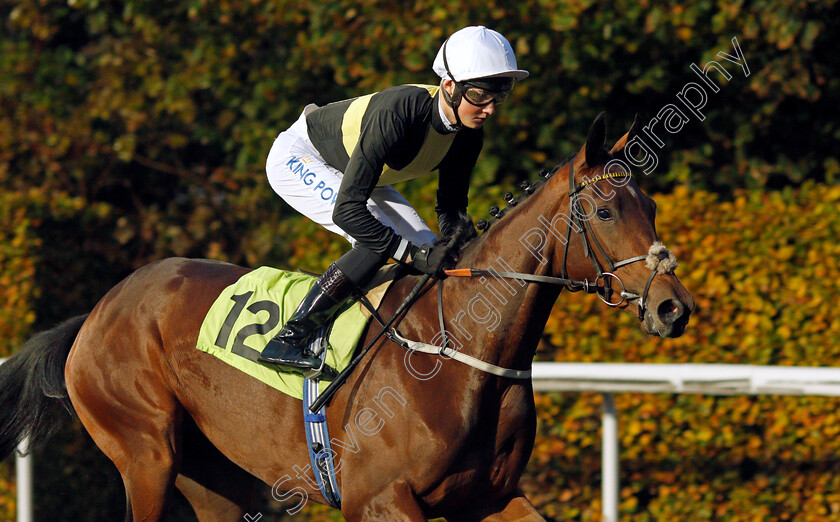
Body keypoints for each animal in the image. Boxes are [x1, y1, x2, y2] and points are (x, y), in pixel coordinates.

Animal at [0, 111, 692, 516]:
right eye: (605, 211)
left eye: (654, 207)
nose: (672, 307)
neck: (462, 352)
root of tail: (94, 314)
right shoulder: (380, 498)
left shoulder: (489, 497)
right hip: (146, 454)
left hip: (213, 473)